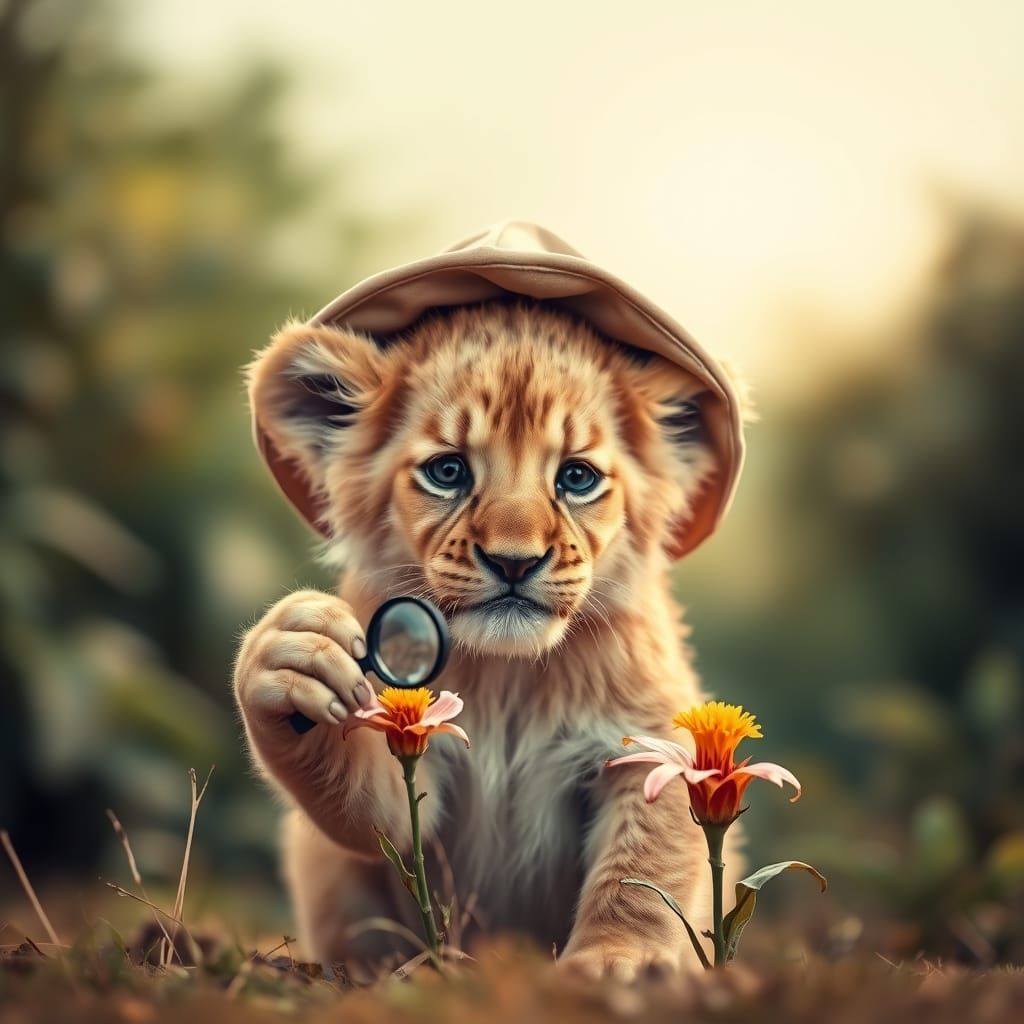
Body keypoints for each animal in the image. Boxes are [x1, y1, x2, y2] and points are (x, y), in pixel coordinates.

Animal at [233, 223, 746, 981]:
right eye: (448, 471)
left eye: (577, 478)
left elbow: (642, 864)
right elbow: (370, 809)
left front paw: (616, 962)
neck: (511, 677)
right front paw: (294, 660)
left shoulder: (651, 738)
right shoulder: (414, 756)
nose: (513, 560)